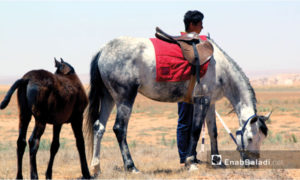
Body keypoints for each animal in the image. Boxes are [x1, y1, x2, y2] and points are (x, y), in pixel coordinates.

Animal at [86, 35, 270, 175]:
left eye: (262, 139)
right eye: (250, 138)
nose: (254, 165)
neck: (220, 67)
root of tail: (103, 50)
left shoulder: (210, 103)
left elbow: (213, 132)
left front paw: (217, 162)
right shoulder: (201, 101)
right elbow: (195, 130)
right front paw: (191, 162)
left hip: (108, 98)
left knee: (99, 127)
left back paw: (96, 167)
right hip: (125, 98)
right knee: (119, 129)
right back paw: (131, 167)